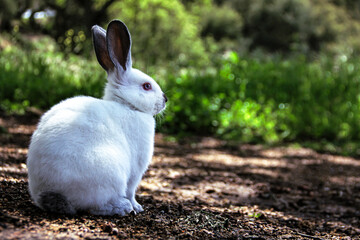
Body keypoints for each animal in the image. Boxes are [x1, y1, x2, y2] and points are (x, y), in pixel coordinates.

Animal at [26, 20, 167, 216]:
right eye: (146, 86)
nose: (165, 99)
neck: (127, 105)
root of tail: (51, 193)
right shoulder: (135, 171)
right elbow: (131, 191)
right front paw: (138, 207)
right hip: (111, 173)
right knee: (96, 206)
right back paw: (122, 207)